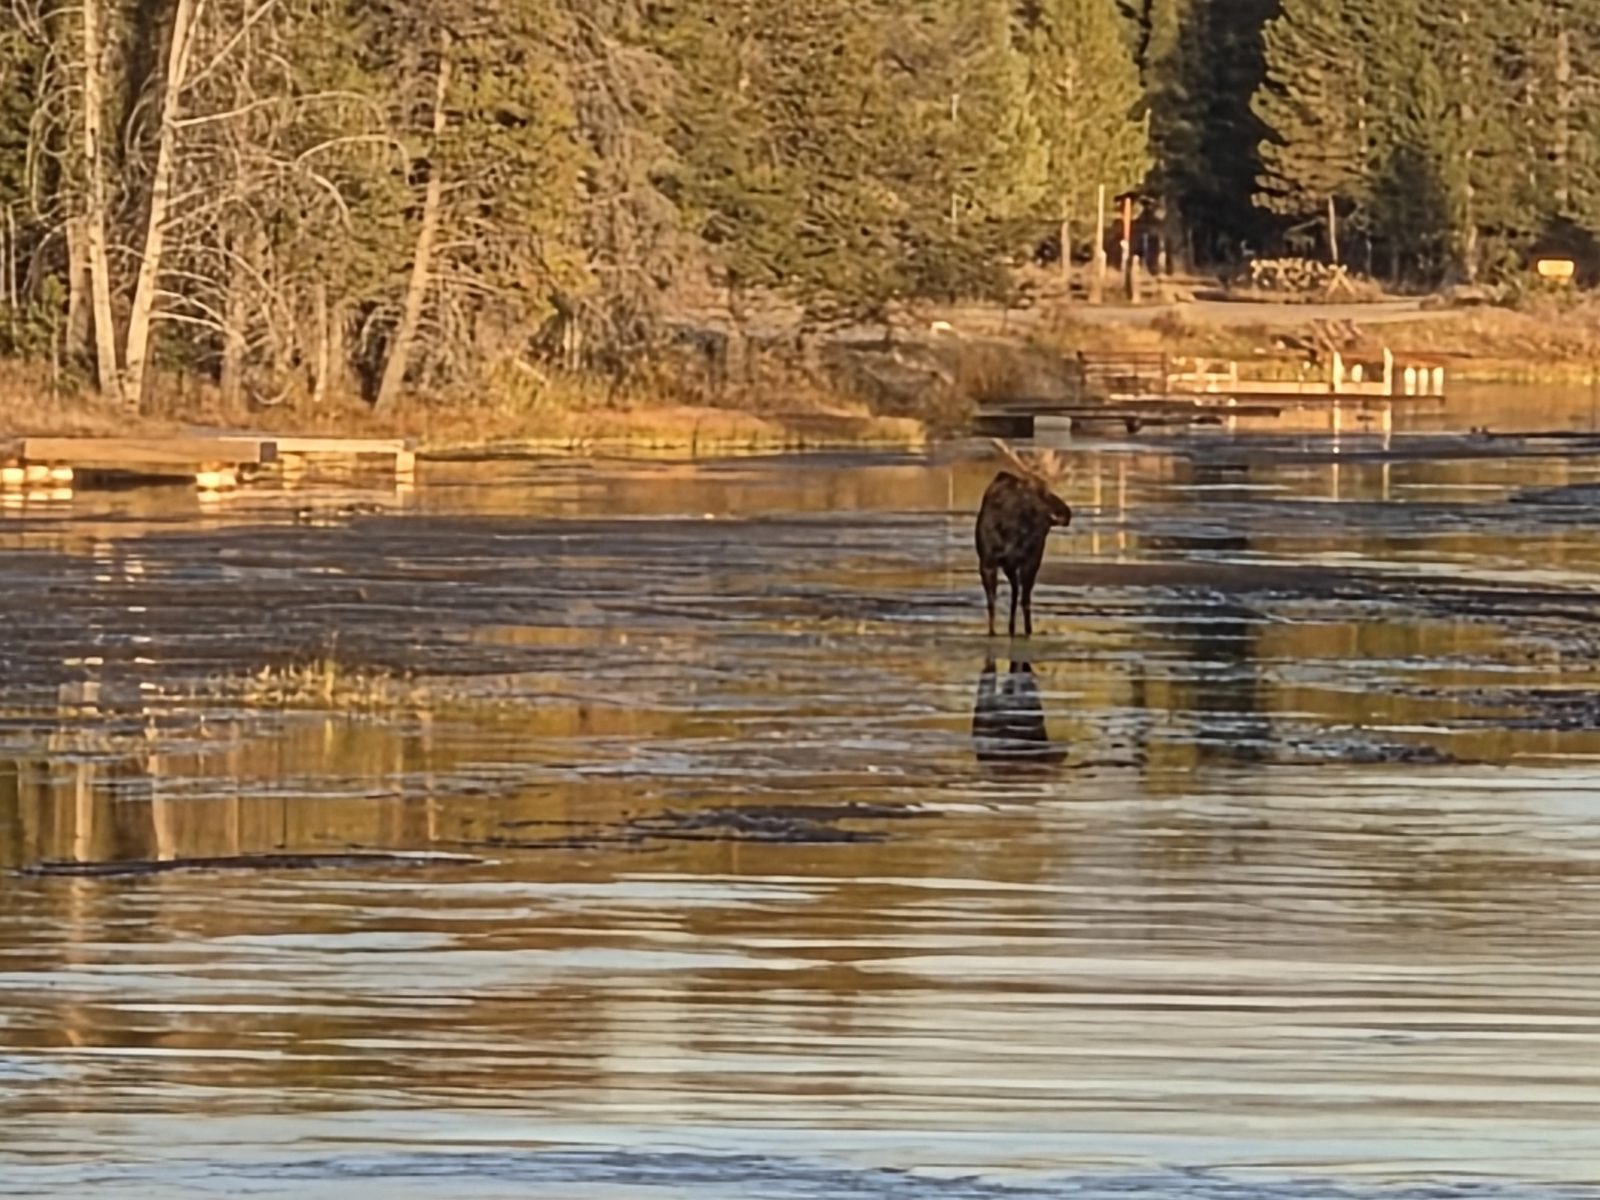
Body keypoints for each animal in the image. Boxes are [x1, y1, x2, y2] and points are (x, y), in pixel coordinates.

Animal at [975, 438, 1073, 638]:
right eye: (1044, 490)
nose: (1067, 513)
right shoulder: (991, 562)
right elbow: (995, 601)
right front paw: (997, 631)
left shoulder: (1007, 562)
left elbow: (1009, 598)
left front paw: (1014, 629)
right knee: (1020, 594)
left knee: (1019, 594)